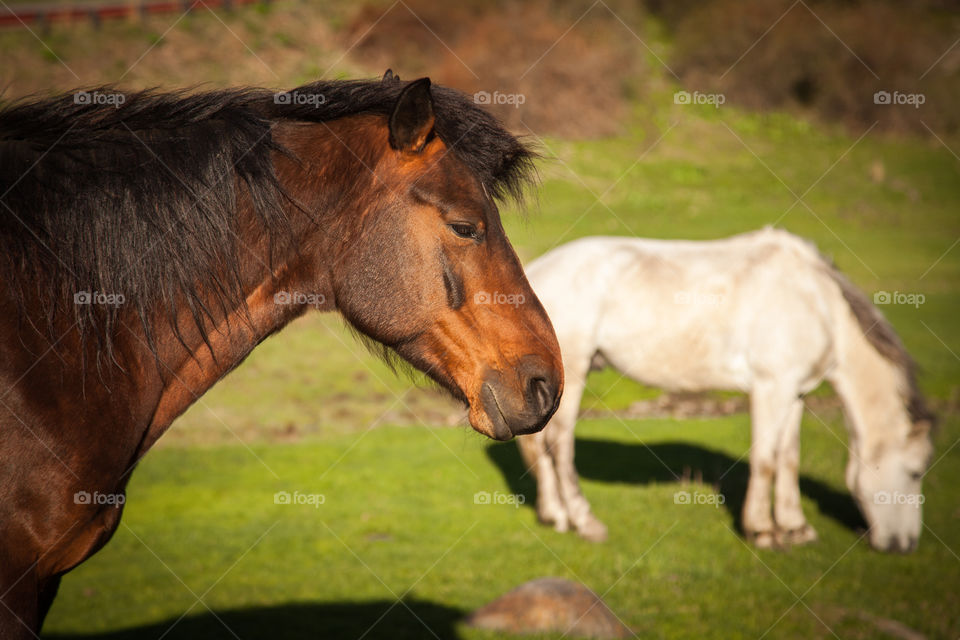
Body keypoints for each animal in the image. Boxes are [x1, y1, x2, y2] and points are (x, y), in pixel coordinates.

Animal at [520, 228, 932, 552]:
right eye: (915, 473)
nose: (906, 545)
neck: (816, 303)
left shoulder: (794, 392)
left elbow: (788, 457)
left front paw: (795, 527)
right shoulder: (770, 388)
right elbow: (766, 459)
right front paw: (762, 531)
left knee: (539, 444)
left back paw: (554, 515)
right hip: (575, 369)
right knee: (558, 444)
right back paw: (583, 521)